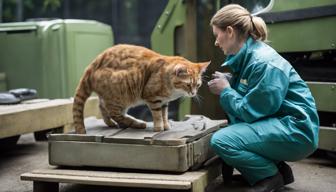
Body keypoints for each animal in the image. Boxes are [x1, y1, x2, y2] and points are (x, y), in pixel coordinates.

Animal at [72, 44, 209, 134]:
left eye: (197, 85)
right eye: (188, 85)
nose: (193, 93)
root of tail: (92, 65)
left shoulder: (164, 102)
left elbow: (164, 114)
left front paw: (166, 125)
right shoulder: (153, 98)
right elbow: (158, 115)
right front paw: (159, 127)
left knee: (103, 107)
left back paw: (111, 123)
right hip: (120, 96)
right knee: (114, 113)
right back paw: (137, 123)